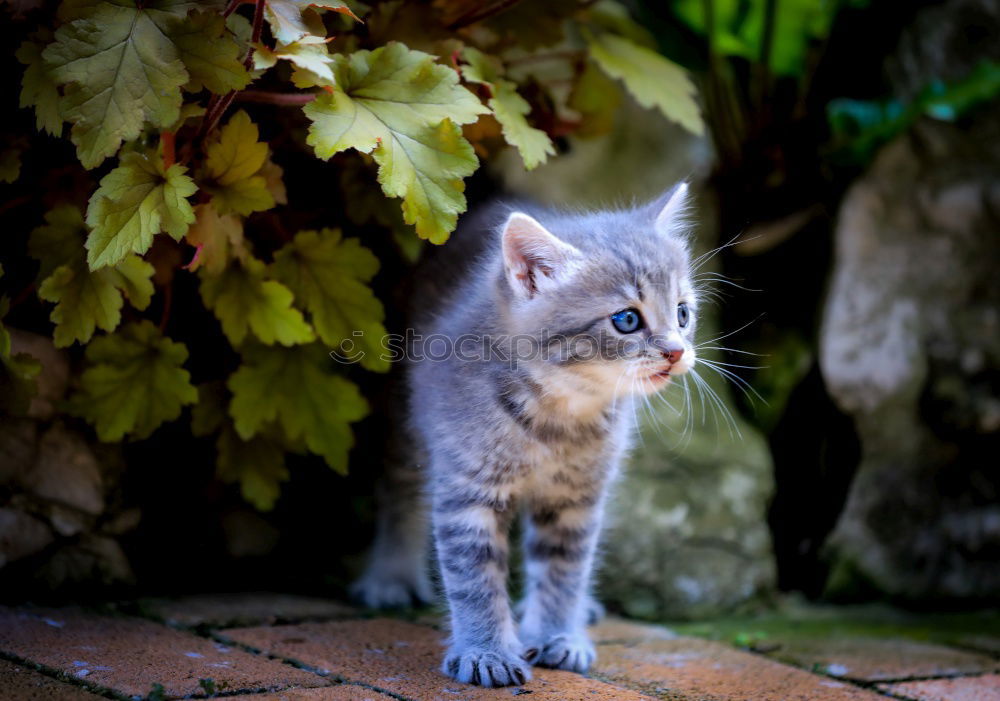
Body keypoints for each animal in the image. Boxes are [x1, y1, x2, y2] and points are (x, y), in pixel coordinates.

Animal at [352, 183, 696, 688]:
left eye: (683, 313)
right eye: (627, 320)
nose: (676, 351)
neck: (557, 417)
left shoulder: (577, 496)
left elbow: (565, 568)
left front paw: (558, 634)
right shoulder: (467, 487)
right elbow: (474, 577)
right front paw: (485, 651)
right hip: (405, 413)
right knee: (399, 488)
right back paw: (390, 577)